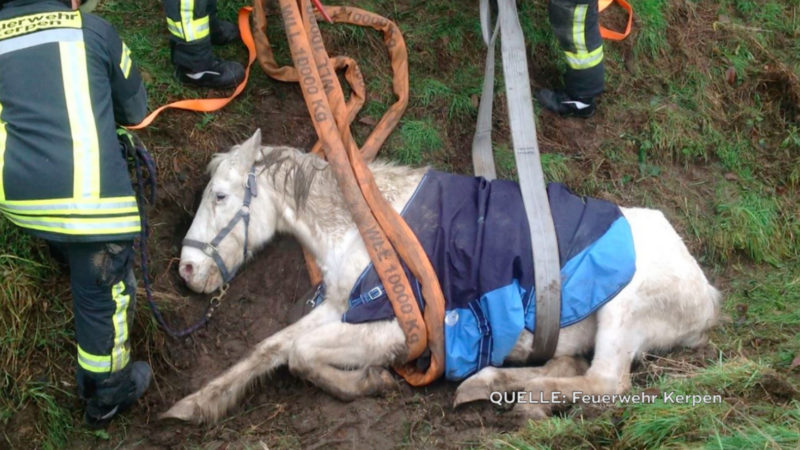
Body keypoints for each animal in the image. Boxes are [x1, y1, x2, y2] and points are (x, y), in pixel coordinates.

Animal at [166, 129, 720, 422]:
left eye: (220, 196)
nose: (187, 270)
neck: (366, 227)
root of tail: (708, 295)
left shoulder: (396, 327)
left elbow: (300, 355)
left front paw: (368, 383)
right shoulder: (342, 307)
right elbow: (271, 349)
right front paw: (196, 404)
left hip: (622, 312)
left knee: (606, 380)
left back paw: (513, 394)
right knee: (570, 367)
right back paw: (497, 384)